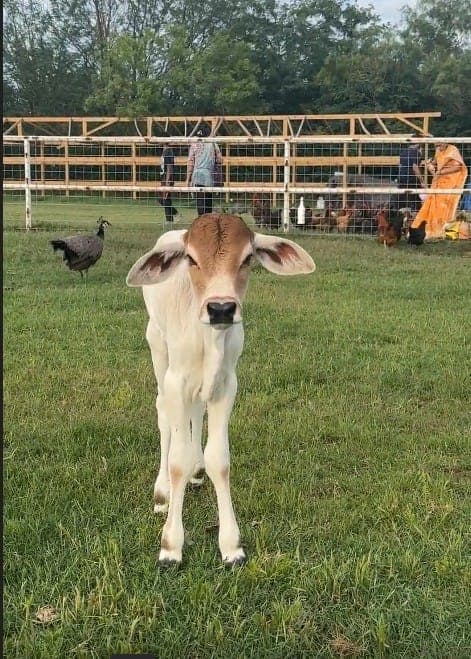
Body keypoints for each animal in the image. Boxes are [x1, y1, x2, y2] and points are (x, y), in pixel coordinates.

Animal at [126, 213, 315, 567]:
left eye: (248, 258)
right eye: (191, 258)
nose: (221, 308)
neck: (209, 340)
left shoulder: (227, 383)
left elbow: (220, 459)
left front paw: (231, 546)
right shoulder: (176, 380)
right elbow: (177, 459)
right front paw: (171, 546)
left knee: (196, 412)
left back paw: (197, 470)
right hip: (156, 343)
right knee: (162, 414)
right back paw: (162, 491)